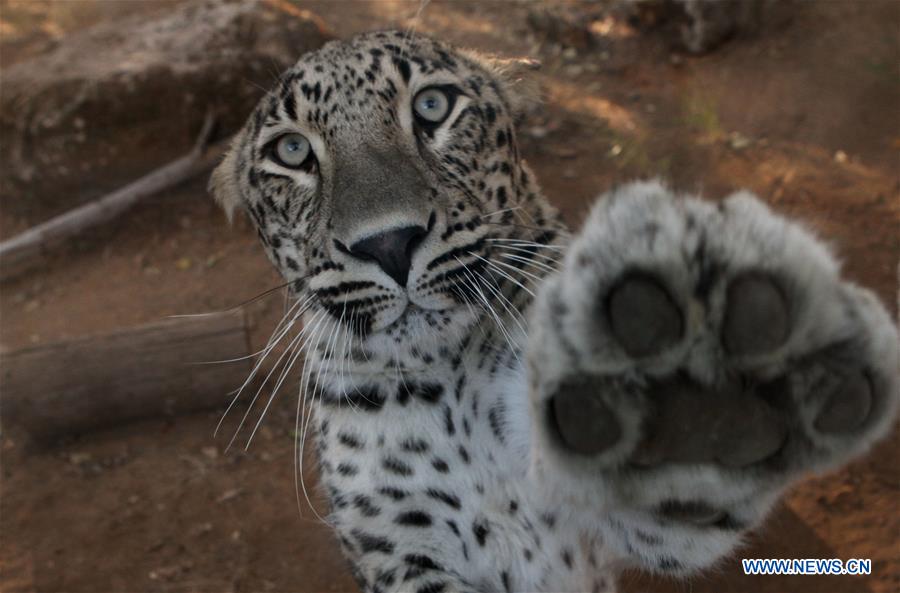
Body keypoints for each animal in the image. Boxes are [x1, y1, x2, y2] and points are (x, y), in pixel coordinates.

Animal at [209, 30, 899, 593]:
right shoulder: (399, 550)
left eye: (432, 107)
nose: (389, 243)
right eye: (291, 152)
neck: (445, 382)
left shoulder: (628, 530)